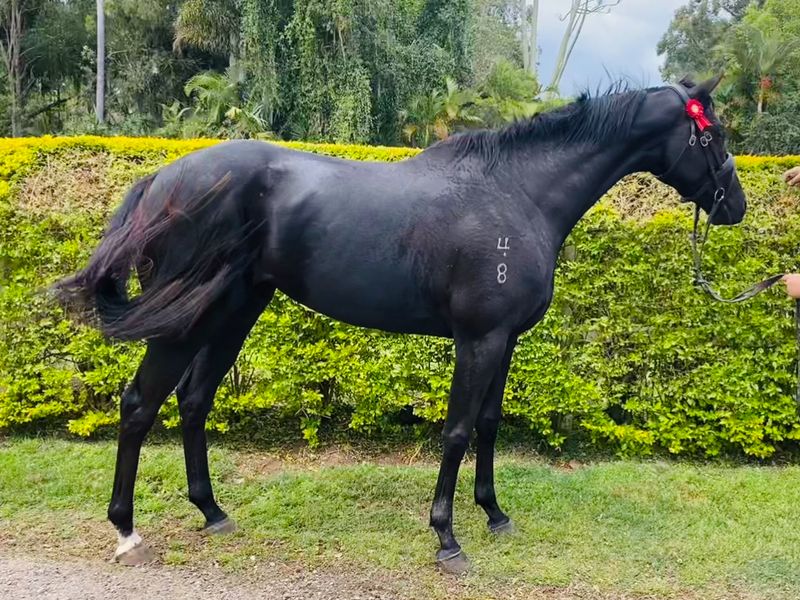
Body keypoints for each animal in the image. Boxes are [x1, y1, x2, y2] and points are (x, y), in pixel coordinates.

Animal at [55, 76, 745, 574]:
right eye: (711, 136)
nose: (734, 206)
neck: (516, 195)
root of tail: (161, 179)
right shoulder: (479, 340)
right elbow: (458, 431)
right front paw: (447, 539)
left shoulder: (505, 342)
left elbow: (489, 425)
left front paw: (494, 515)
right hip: (184, 321)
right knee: (140, 405)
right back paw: (127, 532)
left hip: (231, 312)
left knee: (194, 399)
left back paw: (212, 511)